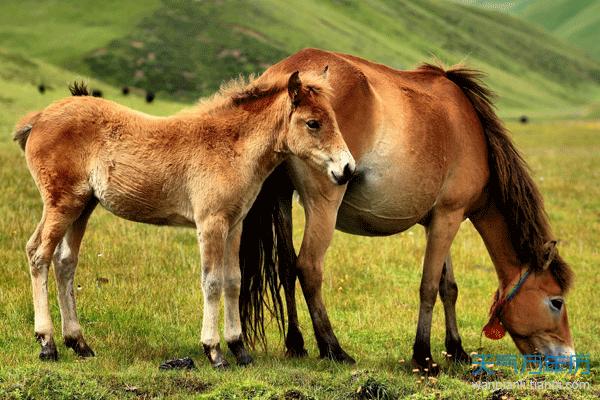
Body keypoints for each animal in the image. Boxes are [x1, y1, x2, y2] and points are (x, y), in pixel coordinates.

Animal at [14, 70, 354, 368]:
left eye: (334, 119)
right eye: (313, 123)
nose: (347, 169)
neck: (230, 146)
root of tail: (38, 118)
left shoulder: (234, 225)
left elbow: (233, 280)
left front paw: (240, 349)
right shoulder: (211, 223)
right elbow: (212, 282)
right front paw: (214, 352)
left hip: (83, 206)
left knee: (65, 262)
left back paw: (80, 344)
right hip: (62, 203)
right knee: (38, 254)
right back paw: (47, 344)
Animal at [237, 48, 576, 374]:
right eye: (556, 302)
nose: (570, 360)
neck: (472, 131)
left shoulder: (438, 220)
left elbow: (448, 287)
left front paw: (457, 349)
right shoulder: (449, 217)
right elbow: (429, 286)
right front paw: (424, 356)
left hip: (282, 197)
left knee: (285, 268)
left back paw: (296, 343)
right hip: (324, 203)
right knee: (308, 267)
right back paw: (333, 349)